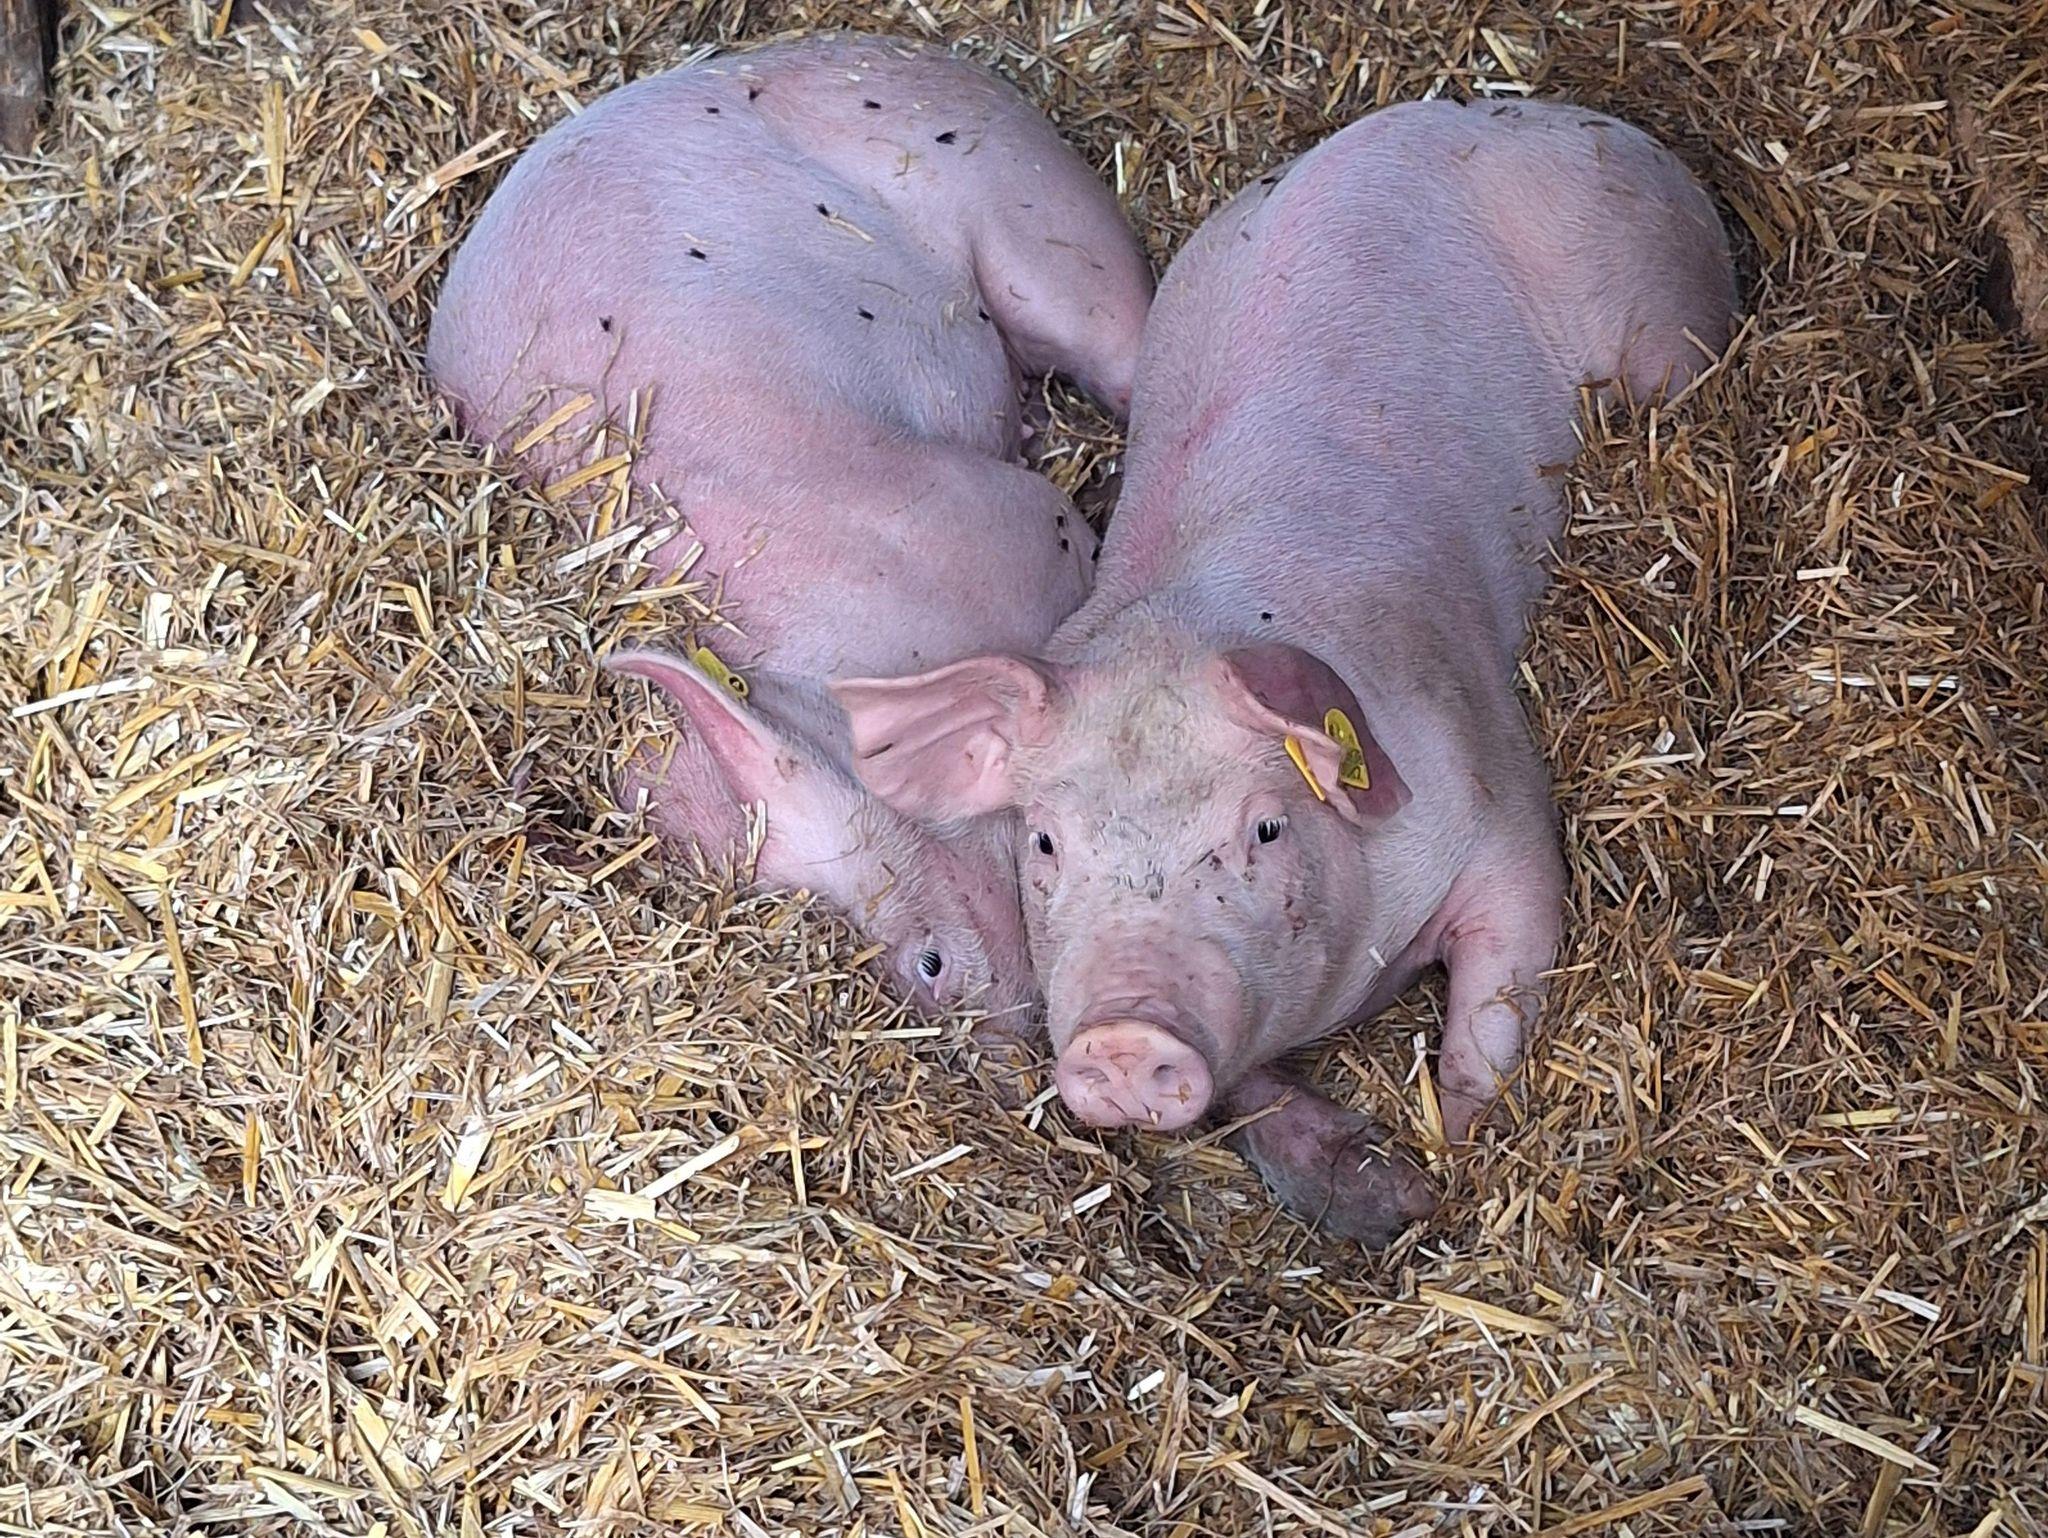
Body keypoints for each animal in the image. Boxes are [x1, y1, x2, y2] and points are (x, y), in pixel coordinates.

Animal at [834, 99, 1736, 1241]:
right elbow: (1248, 1090)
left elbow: (1501, 985)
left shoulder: (1494, 789)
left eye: (1264, 827)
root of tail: (1543, 113)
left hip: (1665, 323)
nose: (1124, 1035)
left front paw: (1449, 1165)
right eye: (1043, 842)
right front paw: (1375, 1185)